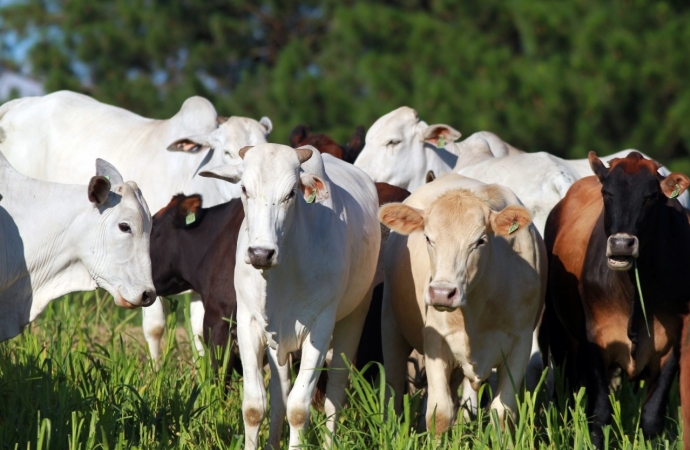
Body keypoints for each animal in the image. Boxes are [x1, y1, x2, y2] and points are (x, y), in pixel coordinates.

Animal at [199, 143, 378, 446]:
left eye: (291, 193)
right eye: (244, 189)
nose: (261, 253)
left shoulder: (320, 328)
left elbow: (298, 409)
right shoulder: (248, 323)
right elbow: (254, 406)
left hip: (355, 315)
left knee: (335, 393)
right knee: (279, 391)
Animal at [376, 173, 544, 432]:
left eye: (480, 241)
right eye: (428, 238)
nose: (442, 293)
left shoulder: (521, 343)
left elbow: (502, 414)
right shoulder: (435, 340)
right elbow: (439, 413)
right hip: (391, 324)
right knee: (393, 386)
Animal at [540, 151, 688, 446]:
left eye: (650, 196)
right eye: (607, 193)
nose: (621, 244)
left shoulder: (673, 343)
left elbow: (652, 416)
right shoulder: (596, 339)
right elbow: (600, 413)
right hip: (559, 334)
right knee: (563, 390)